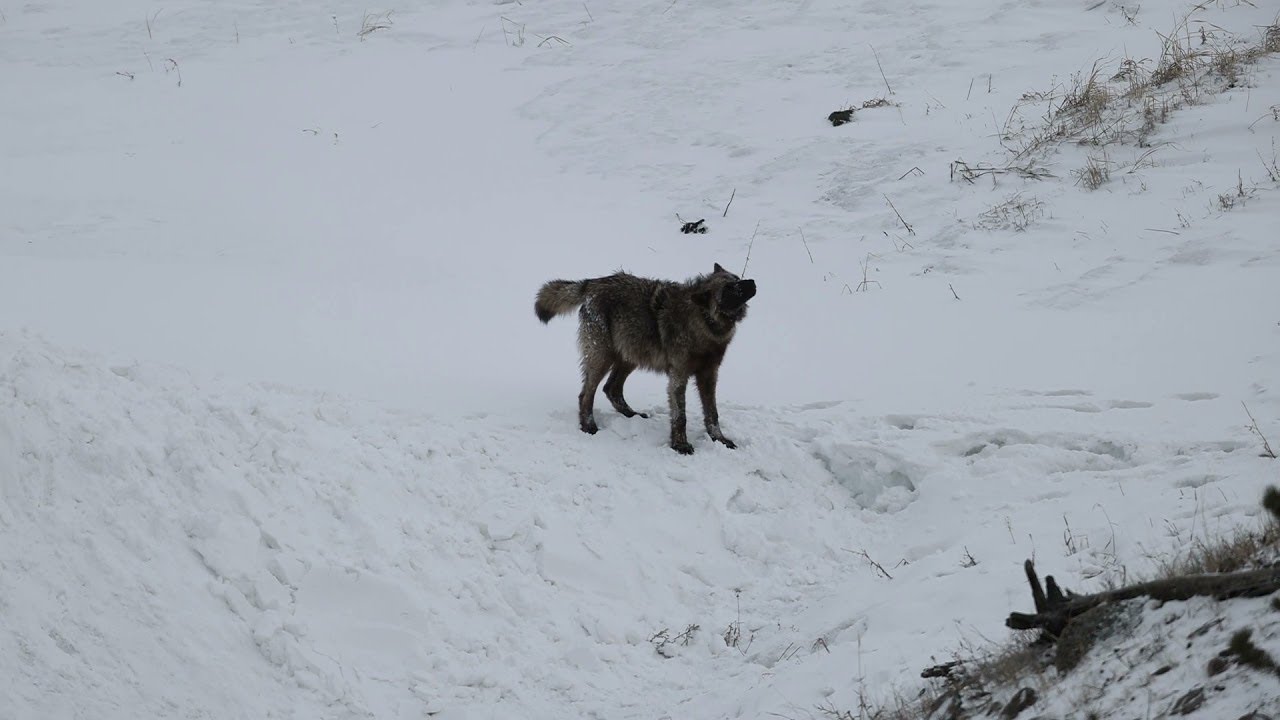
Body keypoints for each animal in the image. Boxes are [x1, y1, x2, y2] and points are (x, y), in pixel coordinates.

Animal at [535, 263, 756, 454]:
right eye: (729, 288)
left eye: (737, 278)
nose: (753, 282)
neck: (704, 322)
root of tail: (593, 283)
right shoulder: (678, 376)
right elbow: (680, 416)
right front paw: (680, 446)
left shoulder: (709, 376)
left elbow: (712, 414)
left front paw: (720, 440)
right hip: (603, 359)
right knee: (586, 395)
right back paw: (589, 426)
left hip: (630, 357)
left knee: (611, 388)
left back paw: (632, 416)